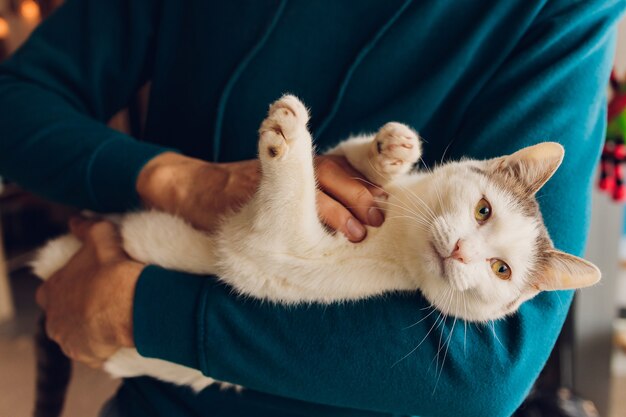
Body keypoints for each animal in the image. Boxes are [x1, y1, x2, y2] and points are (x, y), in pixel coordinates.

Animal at [33, 94, 600, 390]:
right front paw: (389, 151)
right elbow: (347, 158)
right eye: (483, 210)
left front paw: (288, 142)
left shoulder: (272, 253)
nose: (462, 251)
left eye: (501, 270)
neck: (399, 224)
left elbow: (291, 200)